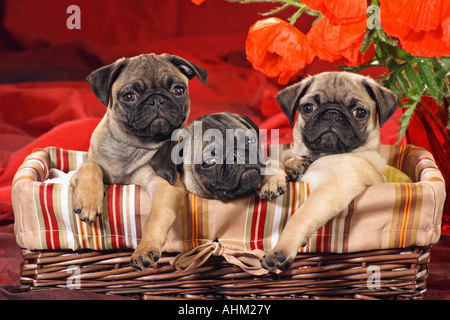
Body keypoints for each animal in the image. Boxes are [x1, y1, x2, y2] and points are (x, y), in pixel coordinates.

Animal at [70, 53, 207, 270]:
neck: (131, 147)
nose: (157, 100)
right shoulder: (83, 168)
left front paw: (145, 249)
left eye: (179, 90)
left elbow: (155, 218)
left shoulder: (165, 187)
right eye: (129, 96)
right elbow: (90, 166)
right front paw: (89, 202)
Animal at [260, 72, 400, 270]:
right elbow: (275, 160)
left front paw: (281, 250)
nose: (332, 114)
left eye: (360, 112)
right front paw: (277, 178)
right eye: (308, 107)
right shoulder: (288, 154)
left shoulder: (331, 189)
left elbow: (299, 217)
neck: (320, 155)